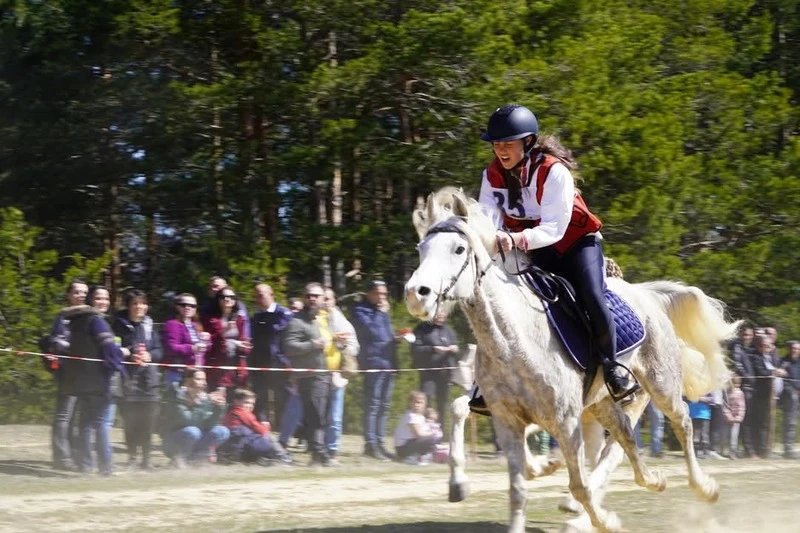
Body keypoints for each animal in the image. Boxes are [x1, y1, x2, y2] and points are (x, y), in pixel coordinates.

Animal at [406, 189, 736, 532]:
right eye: (421, 249)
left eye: (459, 249)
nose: (416, 294)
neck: (511, 342)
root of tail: (647, 295)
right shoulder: (507, 419)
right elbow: (517, 487)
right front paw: (466, 484)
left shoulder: (565, 421)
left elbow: (579, 484)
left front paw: (604, 521)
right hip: (601, 402)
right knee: (622, 435)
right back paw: (650, 480)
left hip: (659, 385)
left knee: (679, 423)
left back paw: (704, 487)